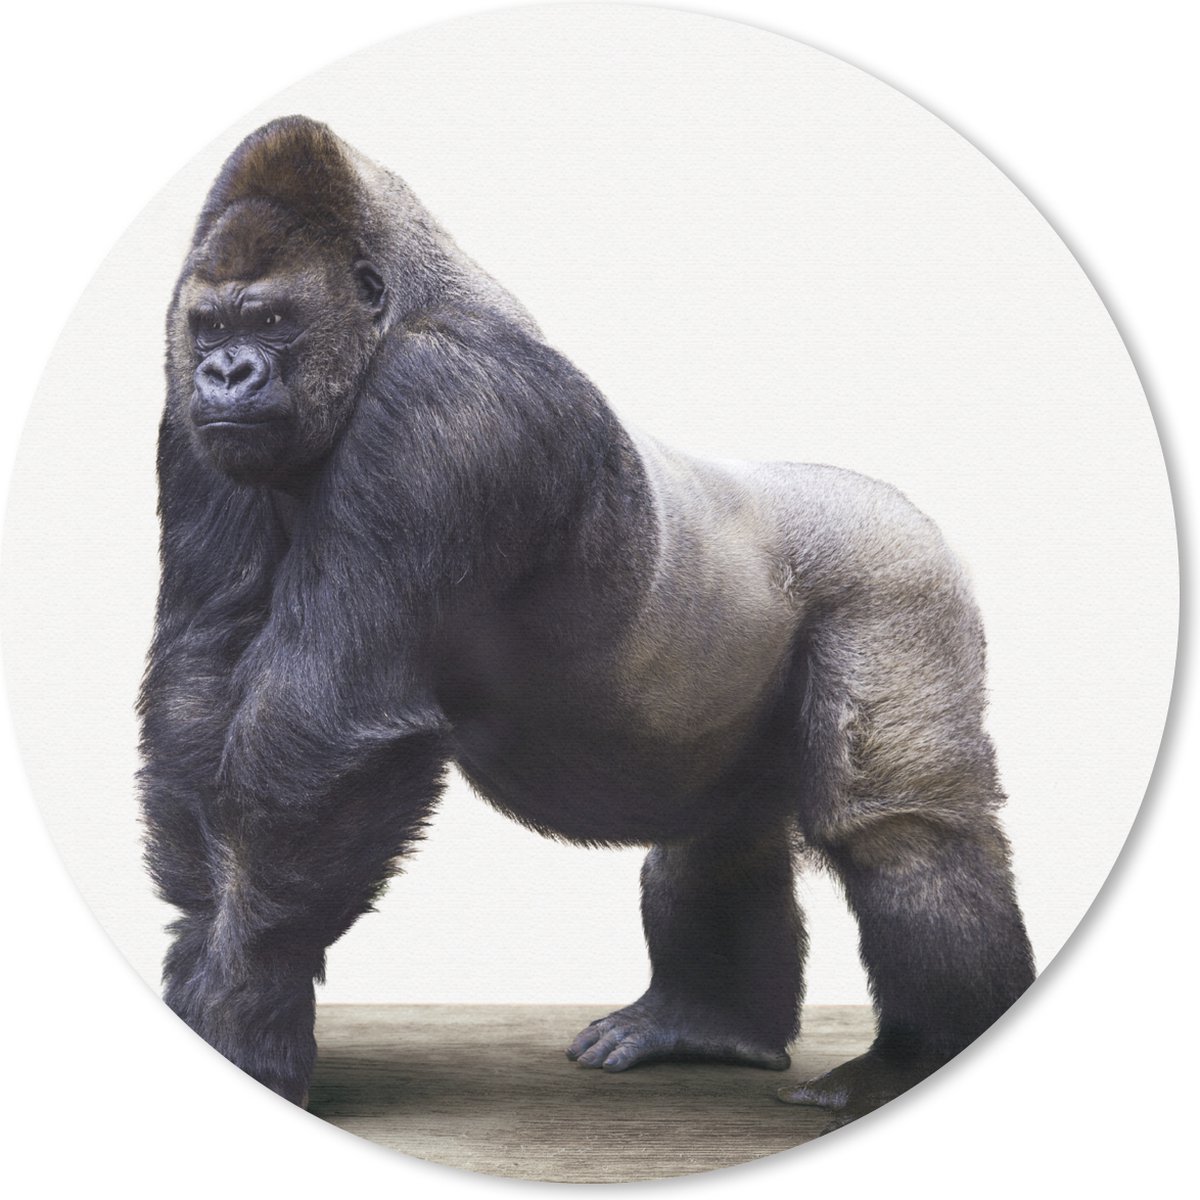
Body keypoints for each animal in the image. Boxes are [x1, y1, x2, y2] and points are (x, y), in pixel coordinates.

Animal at [138, 115, 1035, 1120]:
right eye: (211, 325)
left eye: (270, 320)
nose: (224, 371)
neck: (399, 309)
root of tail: (891, 503)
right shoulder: (191, 429)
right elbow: (200, 691)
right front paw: (206, 961)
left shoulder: (447, 406)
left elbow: (324, 729)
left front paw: (248, 1002)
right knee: (720, 833)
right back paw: (710, 1023)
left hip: (898, 574)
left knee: (900, 831)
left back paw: (921, 1055)